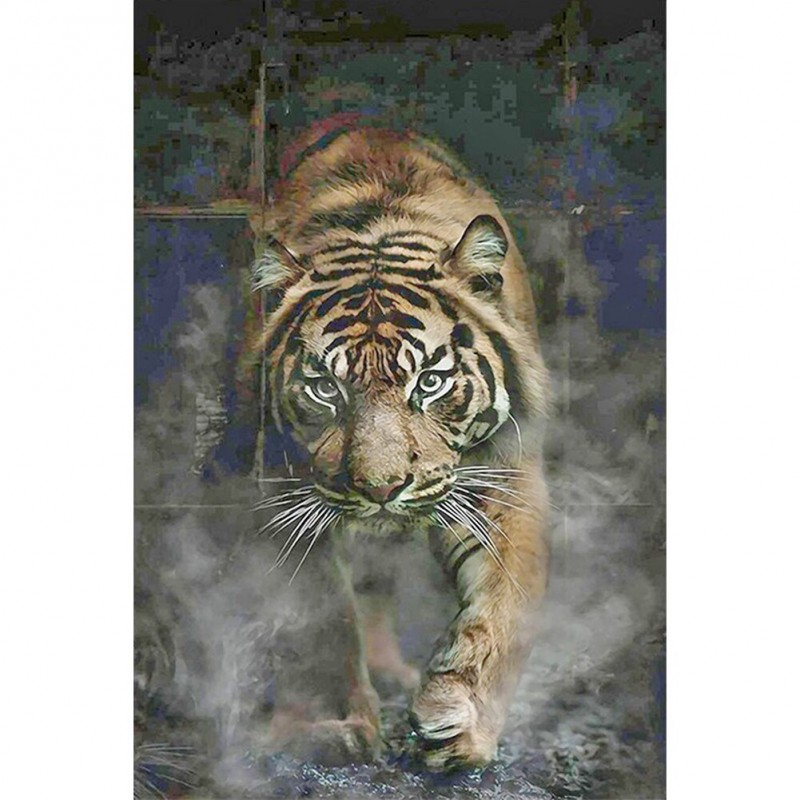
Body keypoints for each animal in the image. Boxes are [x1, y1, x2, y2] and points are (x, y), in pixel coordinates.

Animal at [245, 125, 550, 770]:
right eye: (325, 387)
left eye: (429, 382)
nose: (381, 489)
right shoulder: (285, 494)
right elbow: (325, 617)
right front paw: (336, 724)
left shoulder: (506, 479)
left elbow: (503, 608)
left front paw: (458, 722)